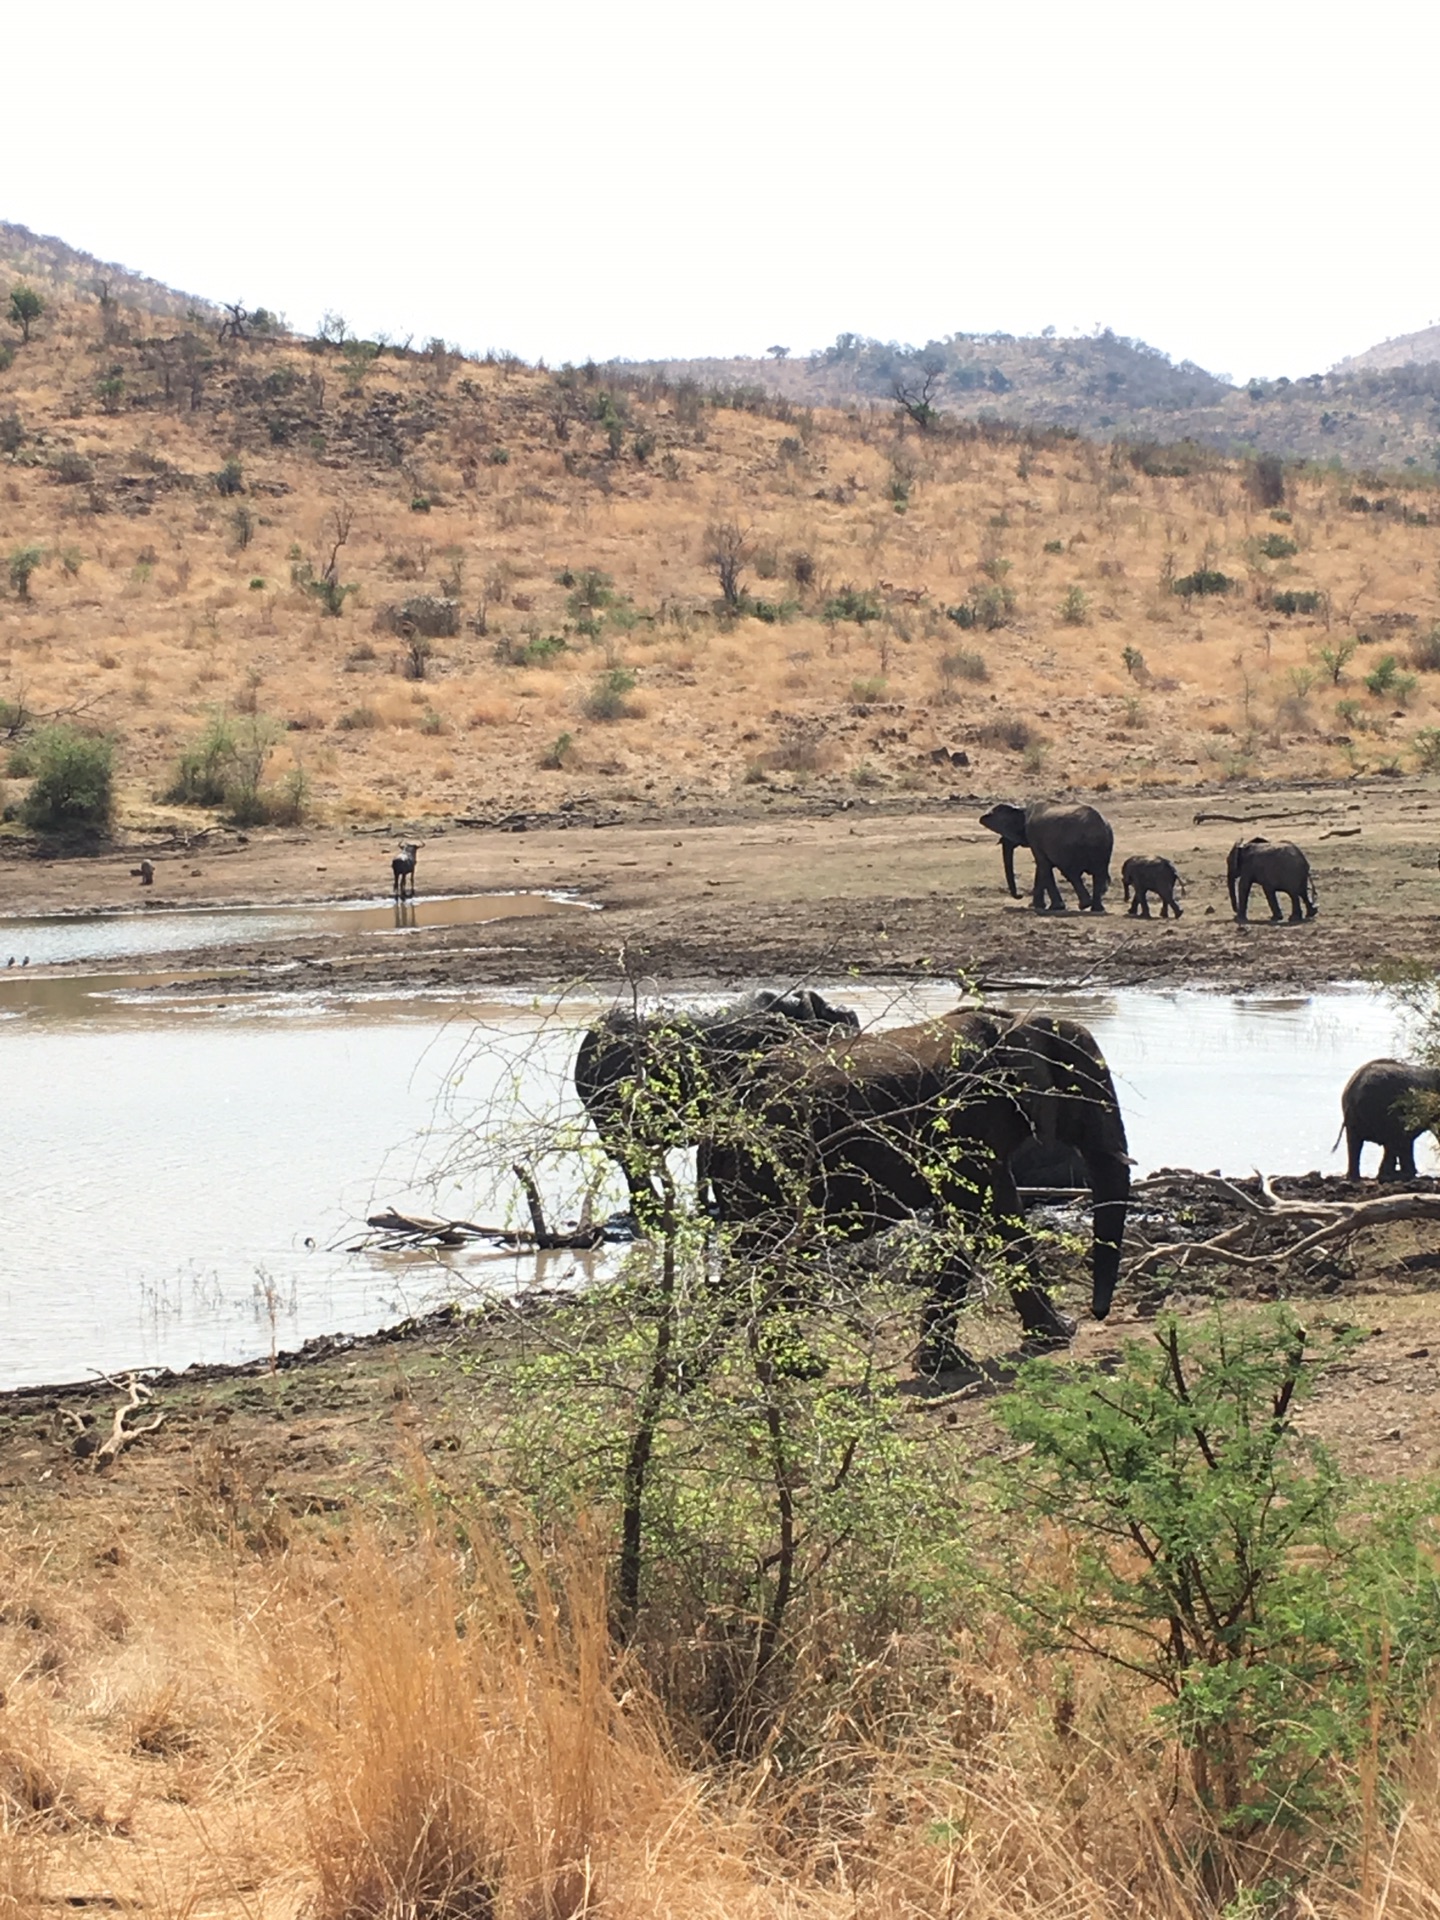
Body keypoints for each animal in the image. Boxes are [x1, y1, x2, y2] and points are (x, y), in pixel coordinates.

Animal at [706, 1013, 1136, 1374]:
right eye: (1089, 1096)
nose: (1096, 1313)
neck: (1015, 1022)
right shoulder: (968, 1115)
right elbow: (970, 1218)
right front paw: (943, 1364)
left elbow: (1003, 1215)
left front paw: (1055, 1335)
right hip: (766, 1167)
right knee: (767, 1253)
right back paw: (800, 1367)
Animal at [983, 798, 1113, 910]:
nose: (1020, 896)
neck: (1023, 810)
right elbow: (1041, 866)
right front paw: (1036, 906)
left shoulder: (1033, 835)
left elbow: (1043, 864)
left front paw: (1054, 907)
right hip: (1103, 845)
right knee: (1099, 874)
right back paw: (1097, 908)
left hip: (1071, 846)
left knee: (1071, 873)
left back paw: (1084, 905)